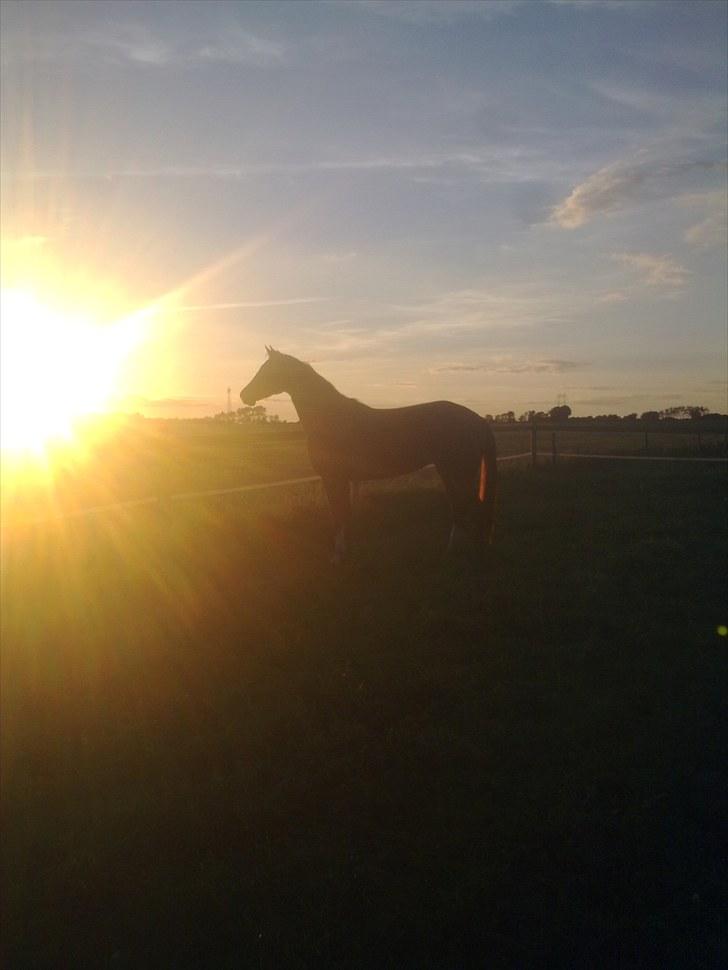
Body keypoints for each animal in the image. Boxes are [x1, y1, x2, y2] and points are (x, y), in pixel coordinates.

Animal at [242, 346, 498, 560]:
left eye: (267, 371)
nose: (244, 395)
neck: (331, 419)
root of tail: (477, 420)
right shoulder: (343, 479)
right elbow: (344, 512)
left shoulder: (333, 478)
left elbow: (338, 513)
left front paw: (339, 554)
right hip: (448, 471)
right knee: (461, 506)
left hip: (459, 472)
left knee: (467, 506)